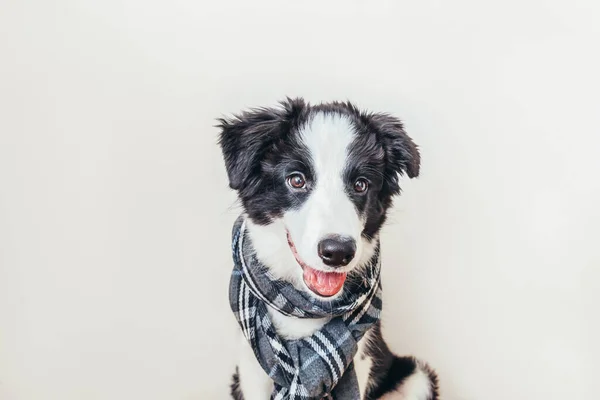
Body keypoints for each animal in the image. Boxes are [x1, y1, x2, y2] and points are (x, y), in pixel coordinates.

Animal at [218, 97, 438, 400]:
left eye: (361, 184)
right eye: (296, 180)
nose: (338, 252)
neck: (306, 308)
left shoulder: (362, 360)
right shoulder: (251, 370)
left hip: (417, 378)